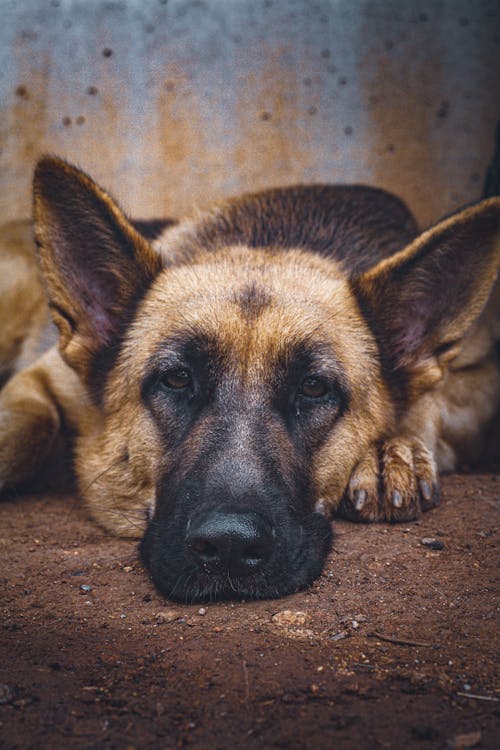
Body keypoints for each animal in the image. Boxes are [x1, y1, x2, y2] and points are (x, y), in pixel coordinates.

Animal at [0, 156, 498, 604]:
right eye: (177, 379)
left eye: (313, 388)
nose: (230, 546)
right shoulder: (45, 376)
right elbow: (30, 427)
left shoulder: (482, 378)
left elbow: (434, 398)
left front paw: (387, 451)